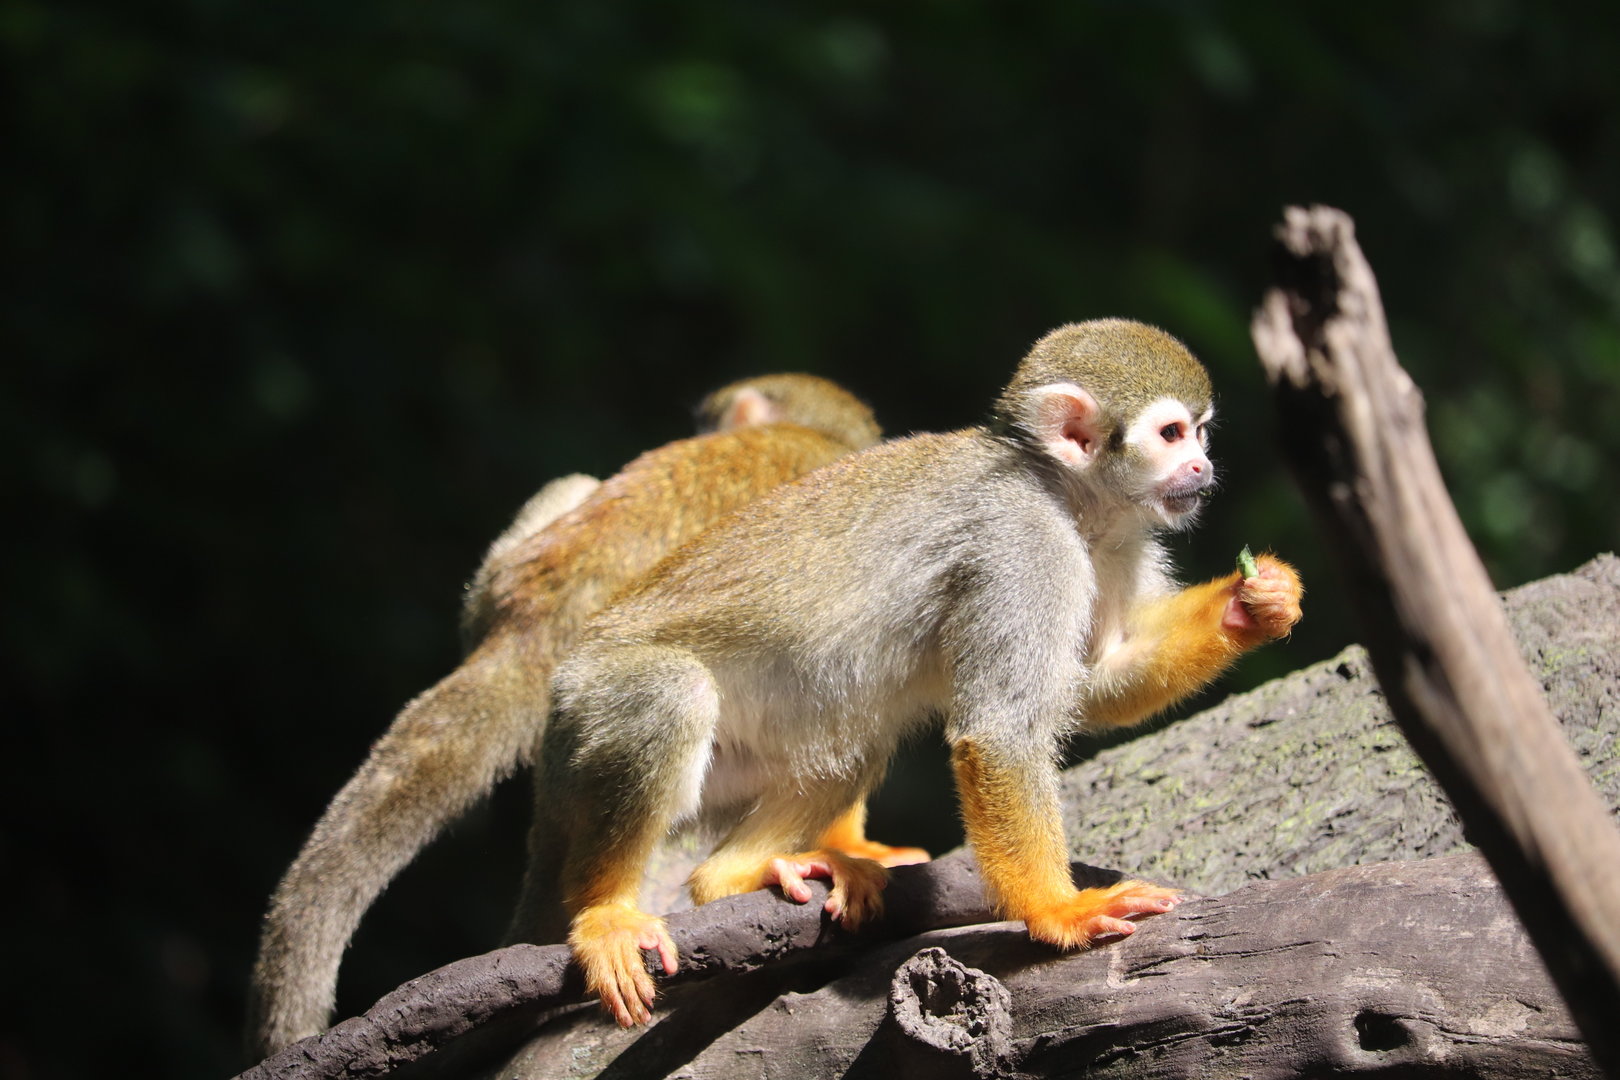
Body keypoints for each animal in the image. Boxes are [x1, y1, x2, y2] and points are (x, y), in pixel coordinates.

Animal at [515, 319, 1304, 1026]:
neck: (1064, 496)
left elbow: (1099, 679)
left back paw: (732, 875)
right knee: (668, 695)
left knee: (851, 743)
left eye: (1202, 433)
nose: (1203, 469)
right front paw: (1061, 912)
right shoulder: (1022, 542)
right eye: (1172, 435)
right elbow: (1002, 729)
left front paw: (1255, 602)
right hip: (590, 705)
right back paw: (607, 912)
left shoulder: (1116, 540)